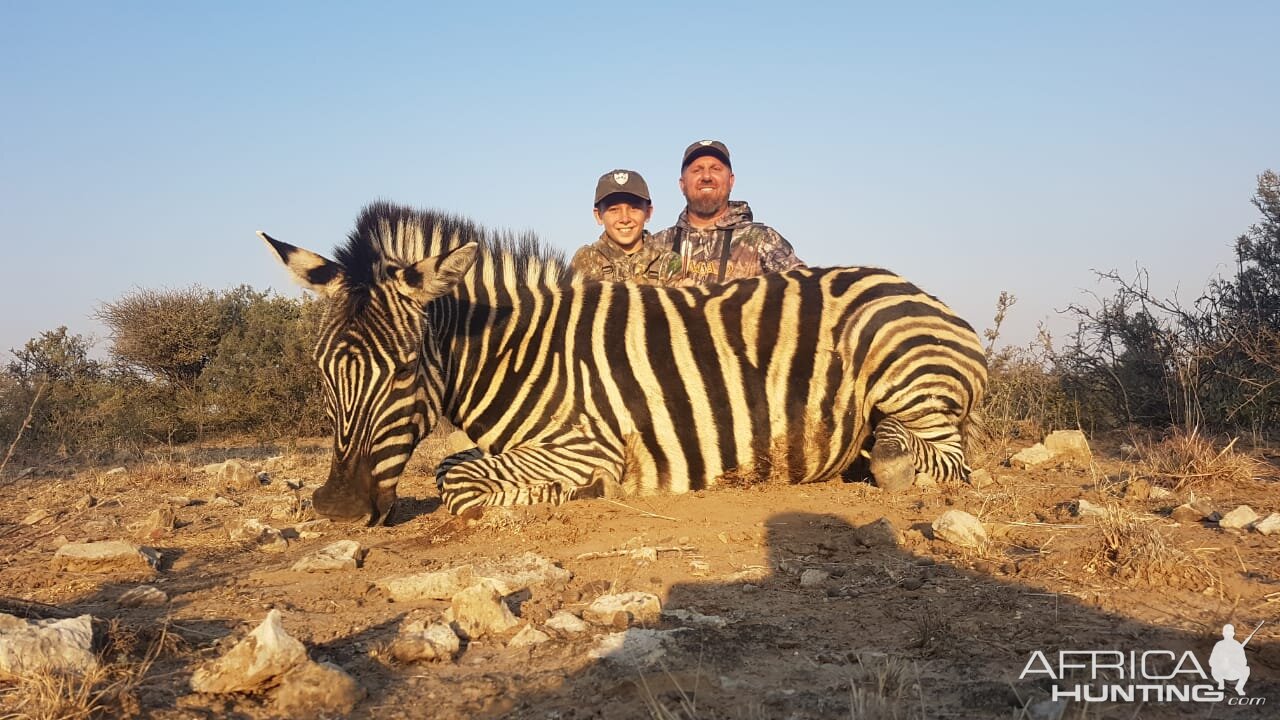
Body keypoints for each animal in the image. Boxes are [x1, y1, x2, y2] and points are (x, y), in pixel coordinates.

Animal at [257, 198, 977, 517]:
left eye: (405, 369)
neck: (518, 353)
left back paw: (889, 459)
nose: (337, 507)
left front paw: (557, 494)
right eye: (323, 373)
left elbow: (457, 479)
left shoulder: (589, 444)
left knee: (942, 462)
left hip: (902, 370)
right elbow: (453, 466)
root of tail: (922, 291)